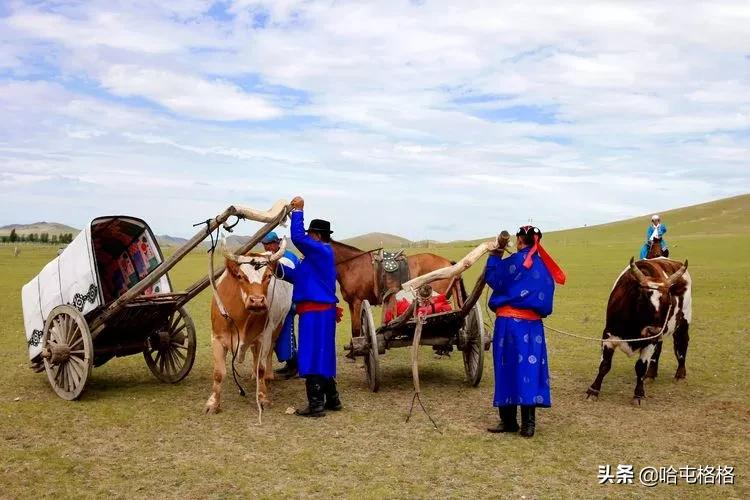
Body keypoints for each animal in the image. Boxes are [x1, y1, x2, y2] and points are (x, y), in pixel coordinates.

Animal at [206, 239, 294, 414]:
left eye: (268, 276)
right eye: (241, 276)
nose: (257, 301)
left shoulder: (264, 337)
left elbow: (261, 367)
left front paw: (262, 397)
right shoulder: (217, 338)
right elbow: (218, 373)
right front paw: (213, 404)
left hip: (277, 327)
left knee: (268, 353)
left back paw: (268, 376)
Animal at [332, 240, 462, 338]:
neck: (352, 266)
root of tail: (449, 264)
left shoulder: (358, 302)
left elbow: (356, 329)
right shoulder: (351, 304)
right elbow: (354, 329)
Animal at [588, 256, 692, 404]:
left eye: (669, 302)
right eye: (642, 299)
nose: (652, 331)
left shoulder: (650, 341)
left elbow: (641, 367)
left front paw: (638, 394)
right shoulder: (609, 336)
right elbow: (604, 365)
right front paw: (593, 390)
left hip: (682, 323)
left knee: (681, 344)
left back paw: (680, 374)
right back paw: (651, 375)